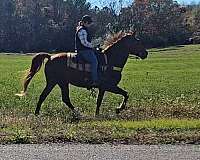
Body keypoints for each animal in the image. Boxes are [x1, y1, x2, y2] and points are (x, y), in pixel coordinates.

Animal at [15, 31, 148, 117]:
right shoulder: (109, 86)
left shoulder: (103, 88)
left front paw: (97, 114)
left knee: (62, 98)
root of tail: (50, 57)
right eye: (137, 42)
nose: (145, 53)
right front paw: (118, 109)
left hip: (61, 83)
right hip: (54, 82)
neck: (110, 60)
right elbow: (125, 94)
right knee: (46, 96)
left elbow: (100, 100)